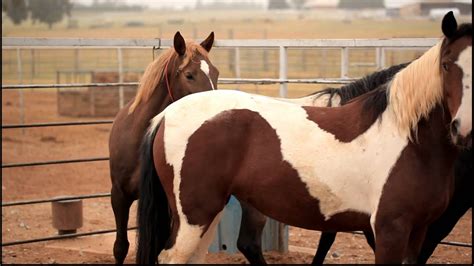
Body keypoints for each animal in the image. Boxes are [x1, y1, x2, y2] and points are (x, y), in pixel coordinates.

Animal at [136, 11, 470, 262]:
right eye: (445, 65)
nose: (462, 128)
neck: (408, 138)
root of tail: (166, 114)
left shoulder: (418, 231)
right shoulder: (390, 230)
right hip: (194, 216)